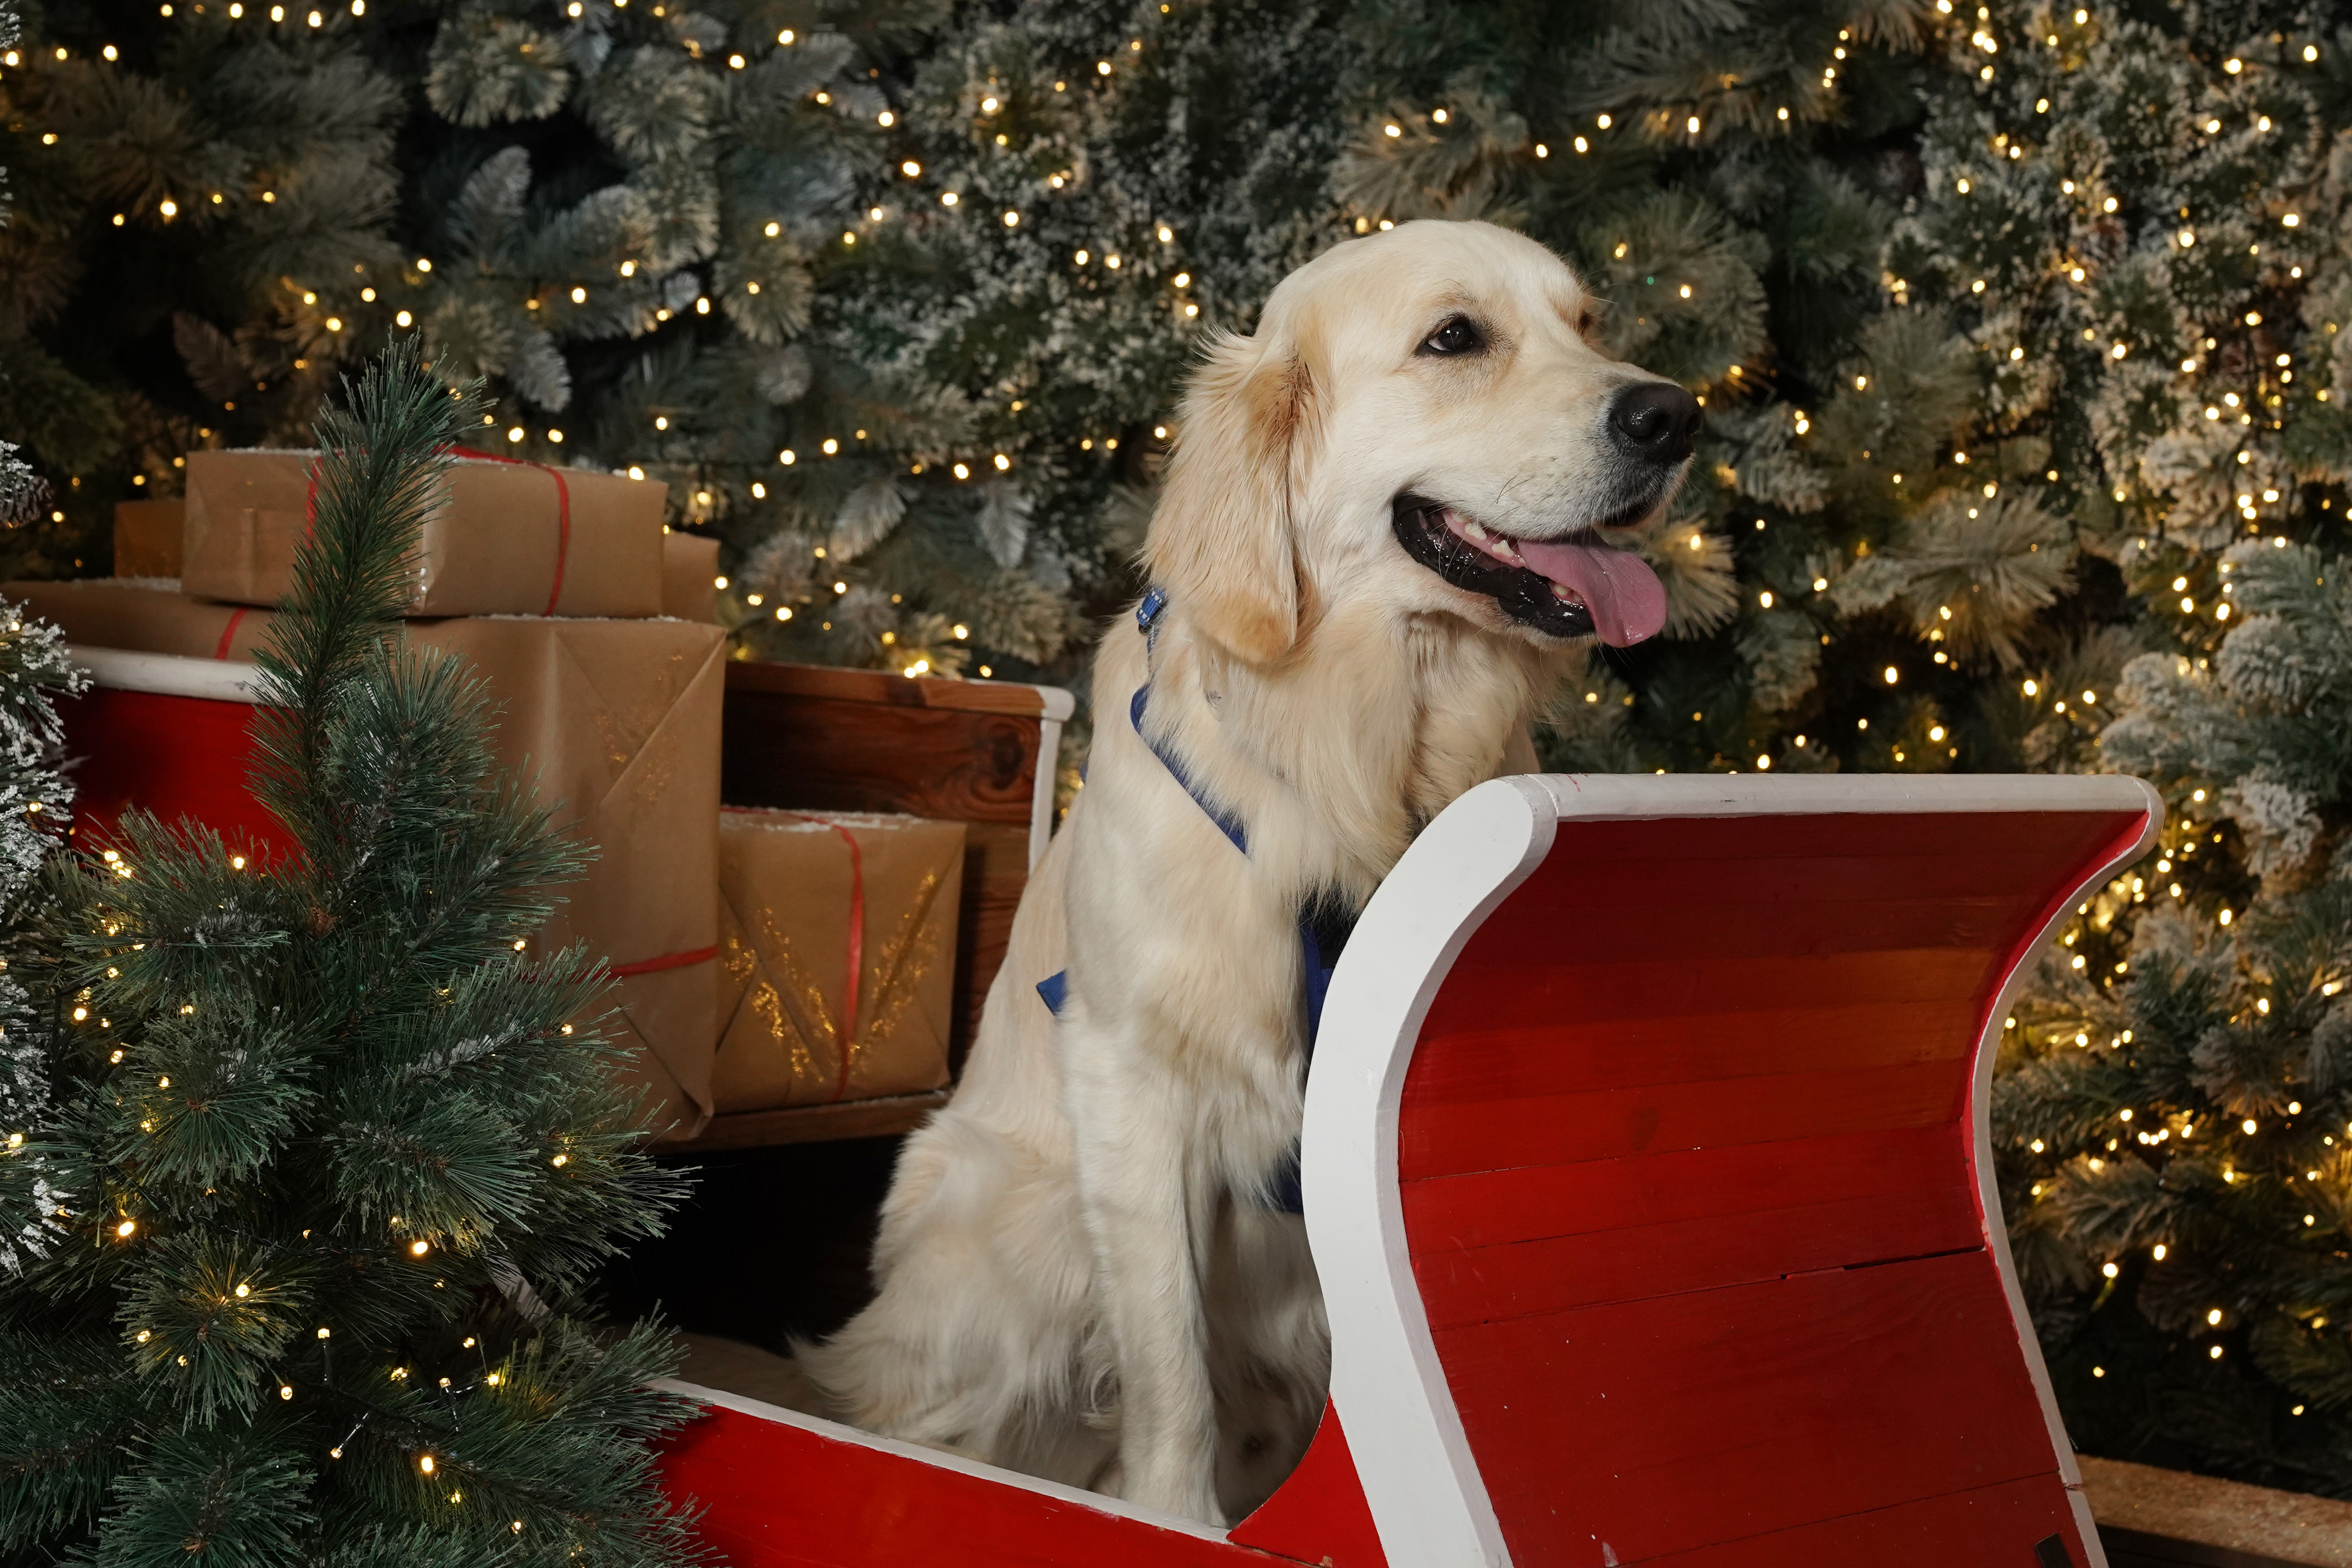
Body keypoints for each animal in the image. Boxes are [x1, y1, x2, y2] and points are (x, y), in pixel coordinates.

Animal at [799, 217, 1703, 1523]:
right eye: (1453, 337)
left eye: (1585, 323)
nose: (1672, 416)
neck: (1356, 743)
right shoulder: (1131, 1082)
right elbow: (1170, 1367)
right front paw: (1176, 1522)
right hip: (1016, 1219)